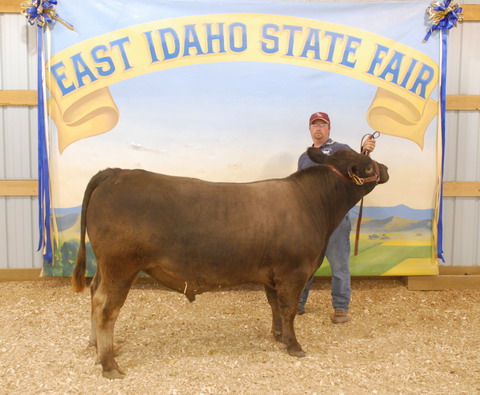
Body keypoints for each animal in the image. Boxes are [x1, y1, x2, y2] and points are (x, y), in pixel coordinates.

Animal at [72, 147, 390, 378]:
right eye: (367, 162)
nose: (385, 169)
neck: (314, 204)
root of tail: (114, 173)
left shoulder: (273, 275)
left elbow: (275, 306)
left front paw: (277, 336)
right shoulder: (294, 272)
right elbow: (288, 310)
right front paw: (294, 346)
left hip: (105, 267)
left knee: (93, 293)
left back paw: (95, 345)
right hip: (120, 267)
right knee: (106, 308)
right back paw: (109, 365)